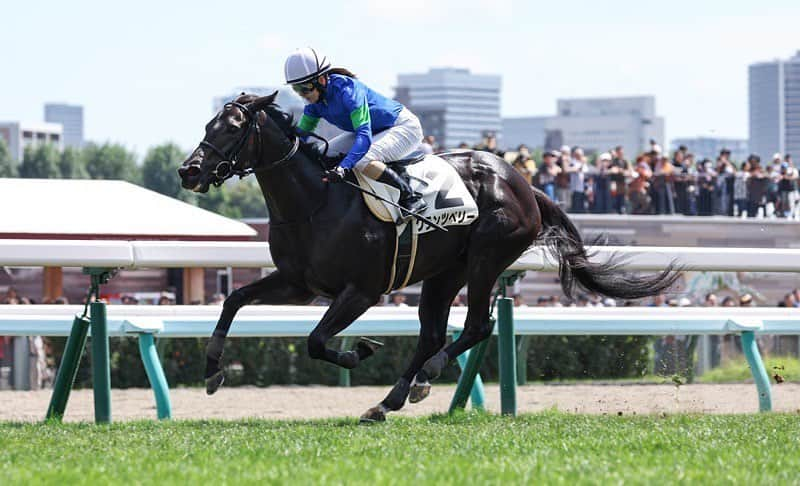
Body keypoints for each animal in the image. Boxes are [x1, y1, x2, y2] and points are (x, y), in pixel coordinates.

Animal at [178, 92, 680, 422]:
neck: (315, 201)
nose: (189, 170)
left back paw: (423, 377)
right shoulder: (299, 283)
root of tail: (522, 183)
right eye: (206, 126)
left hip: (485, 258)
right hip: (444, 274)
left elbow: (317, 341)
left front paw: (360, 350)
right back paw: (390, 399)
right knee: (433, 334)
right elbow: (234, 299)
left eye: (234, 127)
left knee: (475, 326)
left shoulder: (361, 291)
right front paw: (212, 371)